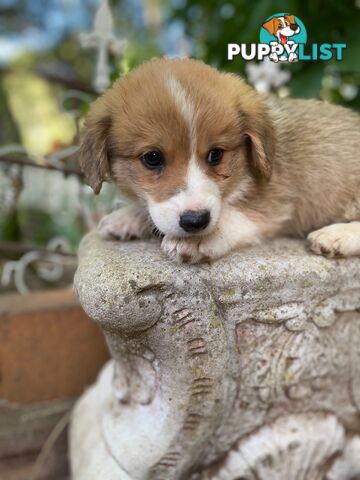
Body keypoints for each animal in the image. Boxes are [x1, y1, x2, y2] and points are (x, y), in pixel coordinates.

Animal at [79, 59, 360, 266]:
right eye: (152, 158)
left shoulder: (275, 203)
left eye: (216, 154)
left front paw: (202, 238)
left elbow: (235, 215)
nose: (195, 222)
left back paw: (336, 235)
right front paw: (126, 217)